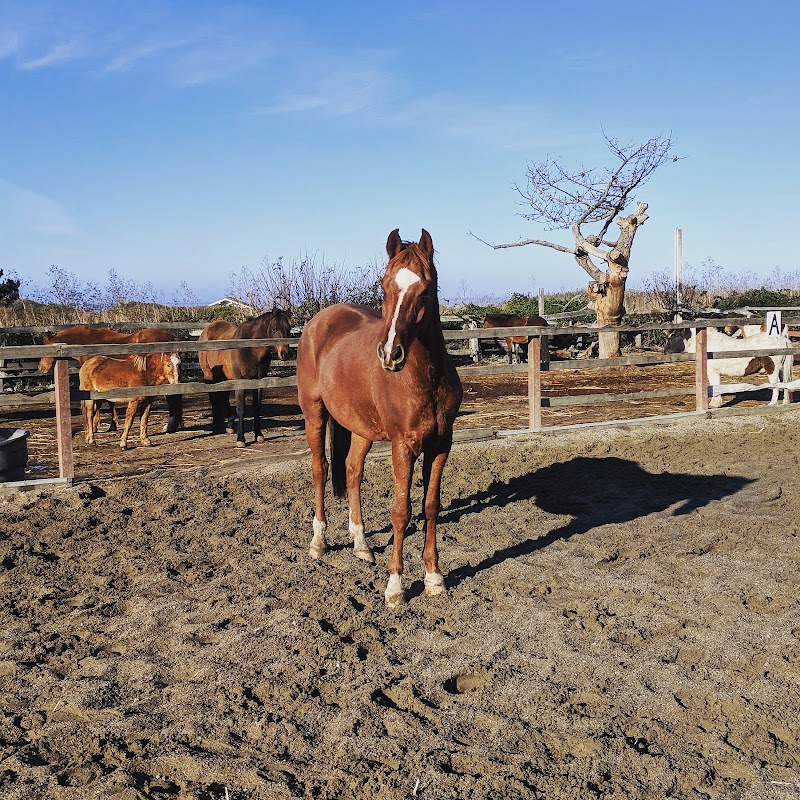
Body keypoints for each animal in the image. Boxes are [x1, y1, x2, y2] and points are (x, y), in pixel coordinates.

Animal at [39, 325, 183, 434]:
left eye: (45, 346)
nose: (41, 367)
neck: (88, 343)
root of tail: (172, 337)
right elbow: (110, 402)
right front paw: (112, 424)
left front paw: (96, 426)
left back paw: (169, 426)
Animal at [198, 308, 292, 447]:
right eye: (275, 329)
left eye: (289, 329)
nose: (285, 354)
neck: (250, 349)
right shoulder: (241, 382)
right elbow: (241, 408)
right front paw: (241, 439)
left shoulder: (258, 382)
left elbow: (256, 408)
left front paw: (259, 435)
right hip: (209, 375)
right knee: (213, 398)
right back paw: (216, 426)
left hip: (226, 378)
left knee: (223, 397)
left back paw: (229, 426)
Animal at [297, 229, 463, 608]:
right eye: (384, 286)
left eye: (426, 289)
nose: (390, 354)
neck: (427, 377)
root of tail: (317, 322)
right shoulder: (403, 446)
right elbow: (401, 511)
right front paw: (395, 588)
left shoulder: (441, 445)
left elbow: (430, 506)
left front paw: (434, 577)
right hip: (314, 413)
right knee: (320, 469)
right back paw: (319, 542)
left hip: (361, 429)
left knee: (352, 471)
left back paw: (361, 545)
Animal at [665, 327, 794, 408]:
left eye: (674, 336)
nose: (665, 351)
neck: (708, 345)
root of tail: (783, 339)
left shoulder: (713, 372)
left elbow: (715, 386)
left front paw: (715, 403)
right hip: (781, 369)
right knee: (785, 383)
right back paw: (785, 402)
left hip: (772, 370)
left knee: (776, 385)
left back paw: (772, 404)